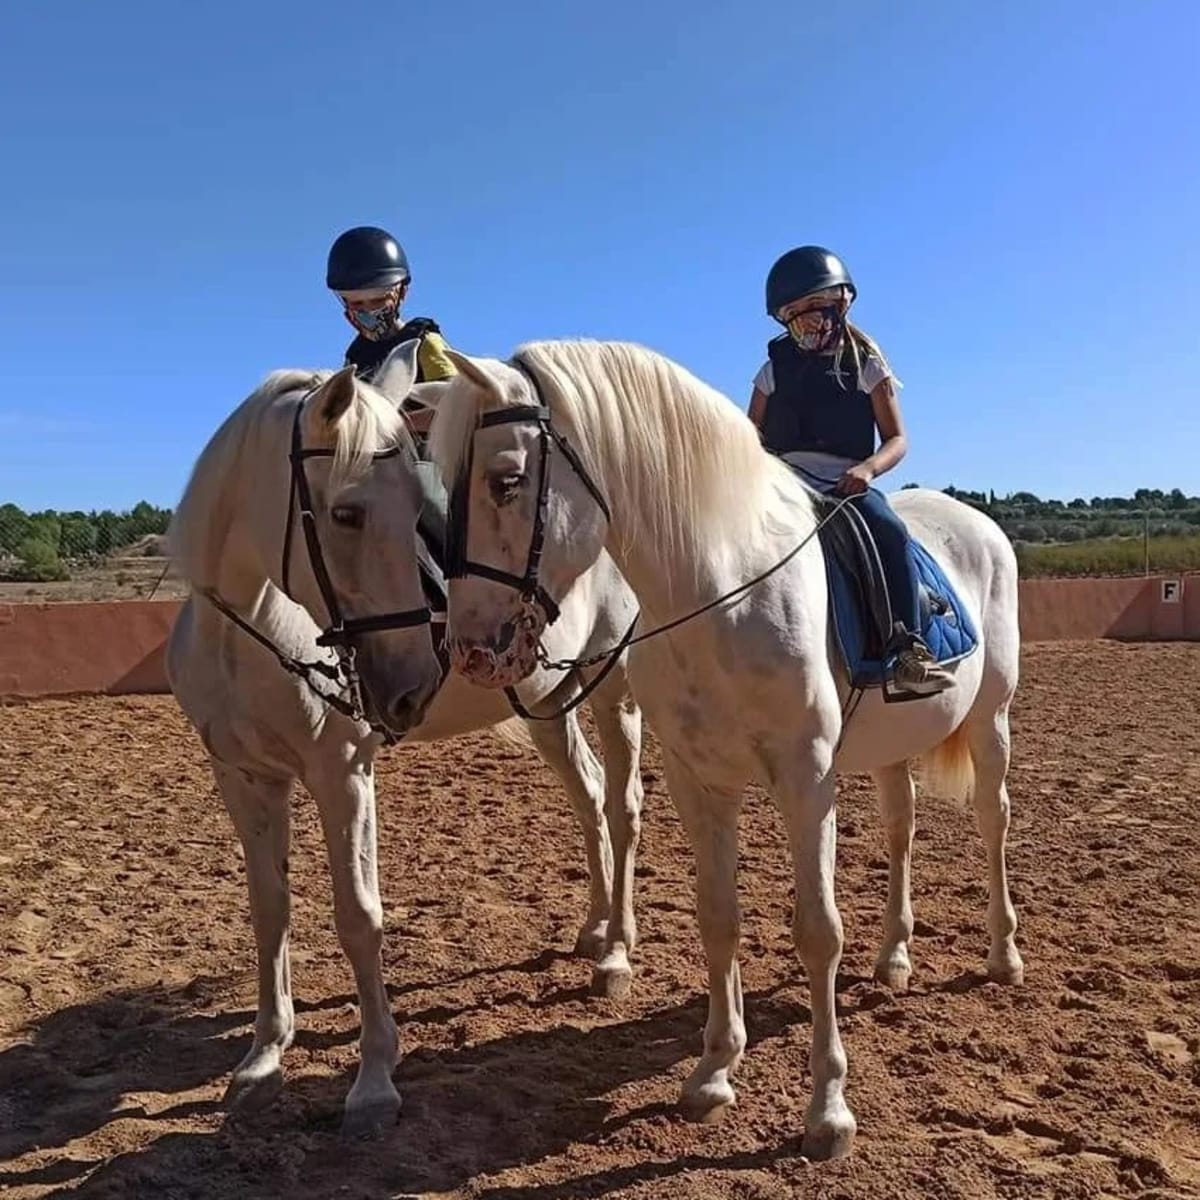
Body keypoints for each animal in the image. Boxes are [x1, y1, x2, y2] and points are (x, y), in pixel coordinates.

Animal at [165, 340, 644, 1137]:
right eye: (346, 512)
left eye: (418, 507)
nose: (411, 686)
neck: (253, 630)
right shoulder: (243, 777)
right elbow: (269, 910)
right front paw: (263, 1057)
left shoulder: (342, 773)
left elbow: (359, 917)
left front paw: (374, 1080)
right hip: (549, 707)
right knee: (589, 798)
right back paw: (594, 930)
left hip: (614, 691)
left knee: (622, 807)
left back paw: (616, 954)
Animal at [418, 338, 1024, 1161]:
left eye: (505, 480)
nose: (471, 649)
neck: (723, 589)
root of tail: (977, 524)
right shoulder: (697, 778)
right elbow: (717, 917)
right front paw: (712, 1073)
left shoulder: (806, 777)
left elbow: (817, 931)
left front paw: (827, 1111)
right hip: (892, 747)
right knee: (901, 828)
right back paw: (894, 957)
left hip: (992, 721)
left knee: (992, 822)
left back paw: (1002, 955)